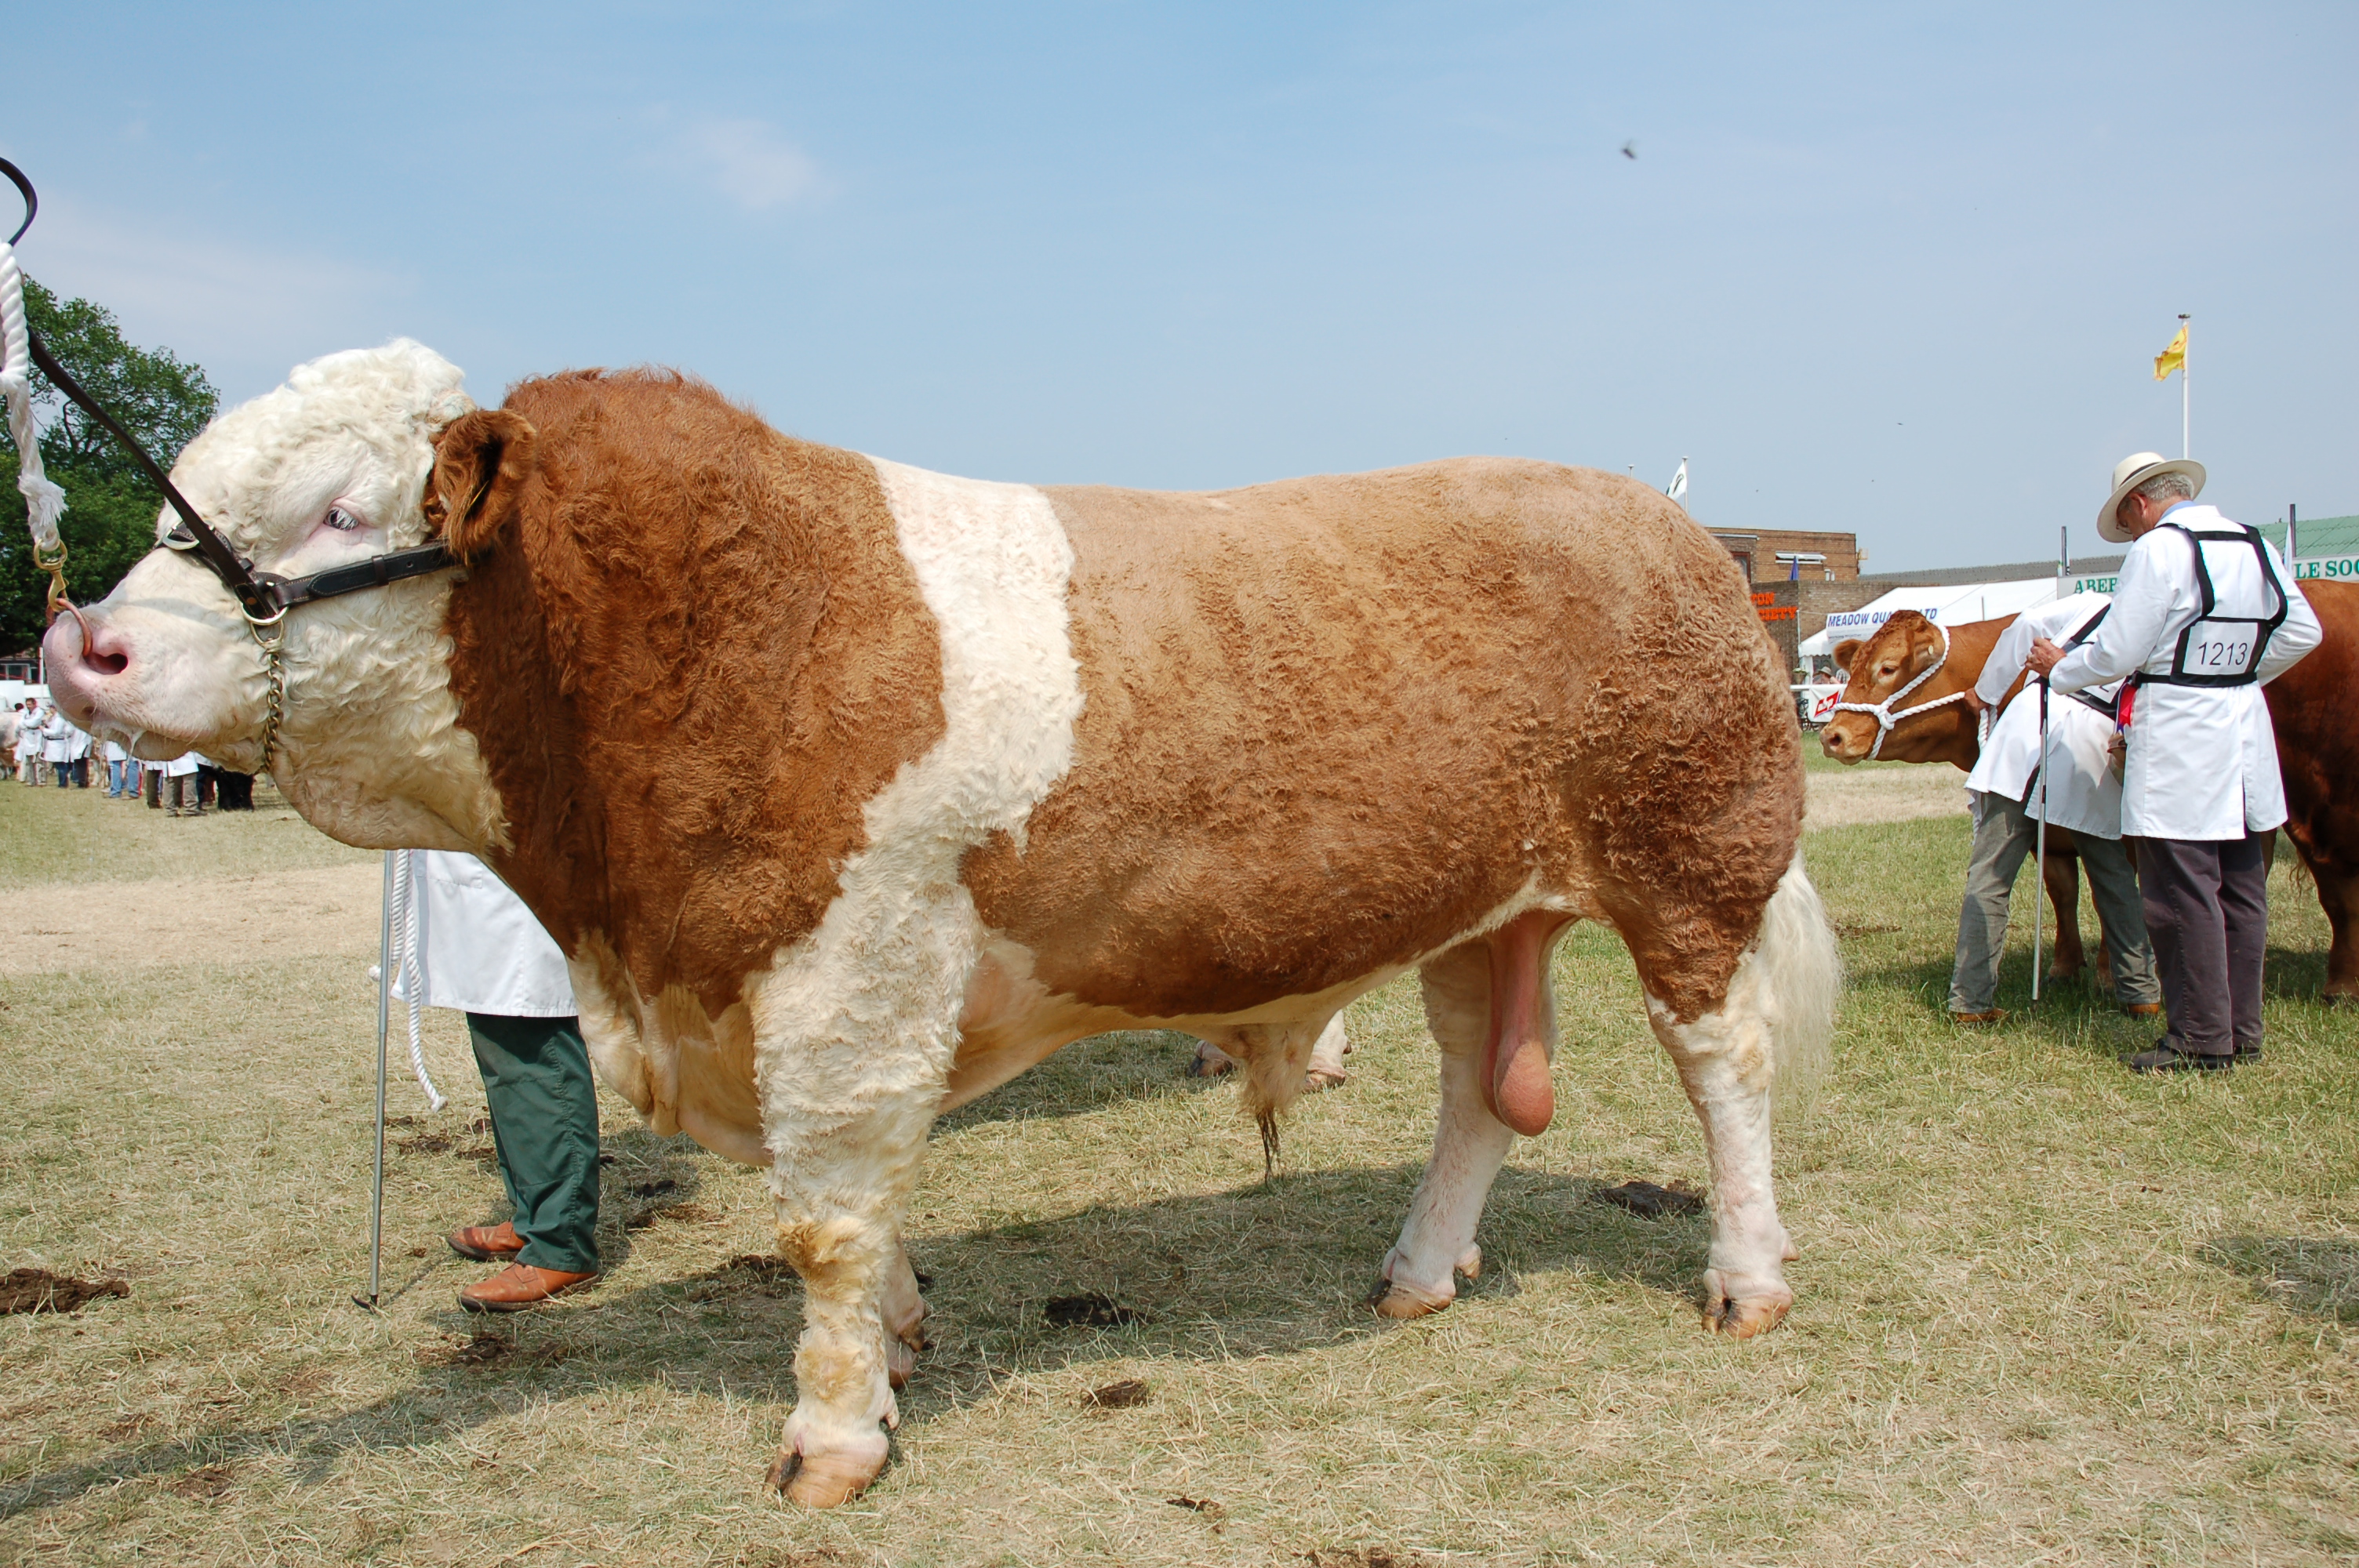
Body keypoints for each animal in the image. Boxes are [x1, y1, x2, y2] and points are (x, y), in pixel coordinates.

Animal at [42, 347, 1840, 1508]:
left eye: (343, 509)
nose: (81, 644)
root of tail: (1666, 524)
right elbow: (854, 1211)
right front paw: (898, 1344)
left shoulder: (846, 971)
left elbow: (824, 1220)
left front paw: (833, 1437)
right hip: (1479, 910)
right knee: (1481, 1088)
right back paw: (1413, 1273)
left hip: (1689, 864)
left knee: (1725, 1069)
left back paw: (1746, 1278)